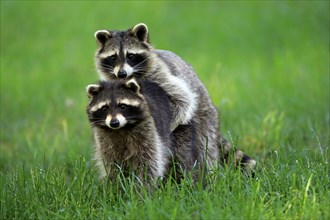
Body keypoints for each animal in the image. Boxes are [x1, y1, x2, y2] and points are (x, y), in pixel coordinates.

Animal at [94, 23, 256, 174]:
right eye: (113, 57)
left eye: (131, 56)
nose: (121, 73)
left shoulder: (160, 75)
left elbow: (184, 100)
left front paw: (167, 127)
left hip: (205, 116)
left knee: (206, 146)